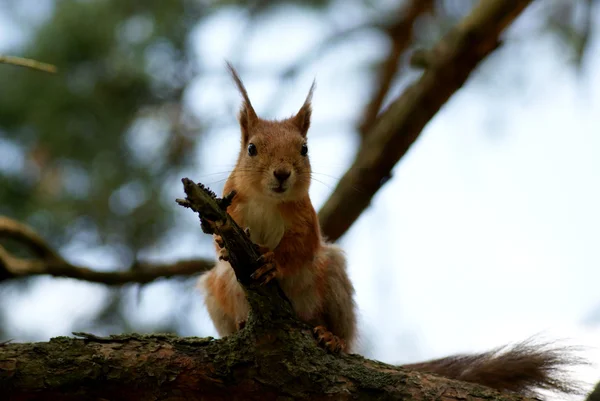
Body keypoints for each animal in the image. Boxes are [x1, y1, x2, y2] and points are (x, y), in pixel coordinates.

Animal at [199, 64, 584, 398]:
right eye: (252, 149)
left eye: (304, 149)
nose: (281, 174)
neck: (267, 201)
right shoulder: (233, 207)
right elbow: (220, 237)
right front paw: (220, 241)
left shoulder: (306, 222)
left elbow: (298, 249)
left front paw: (272, 261)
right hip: (215, 290)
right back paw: (239, 329)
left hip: (332, 276)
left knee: (335, 325)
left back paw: (331, 338)